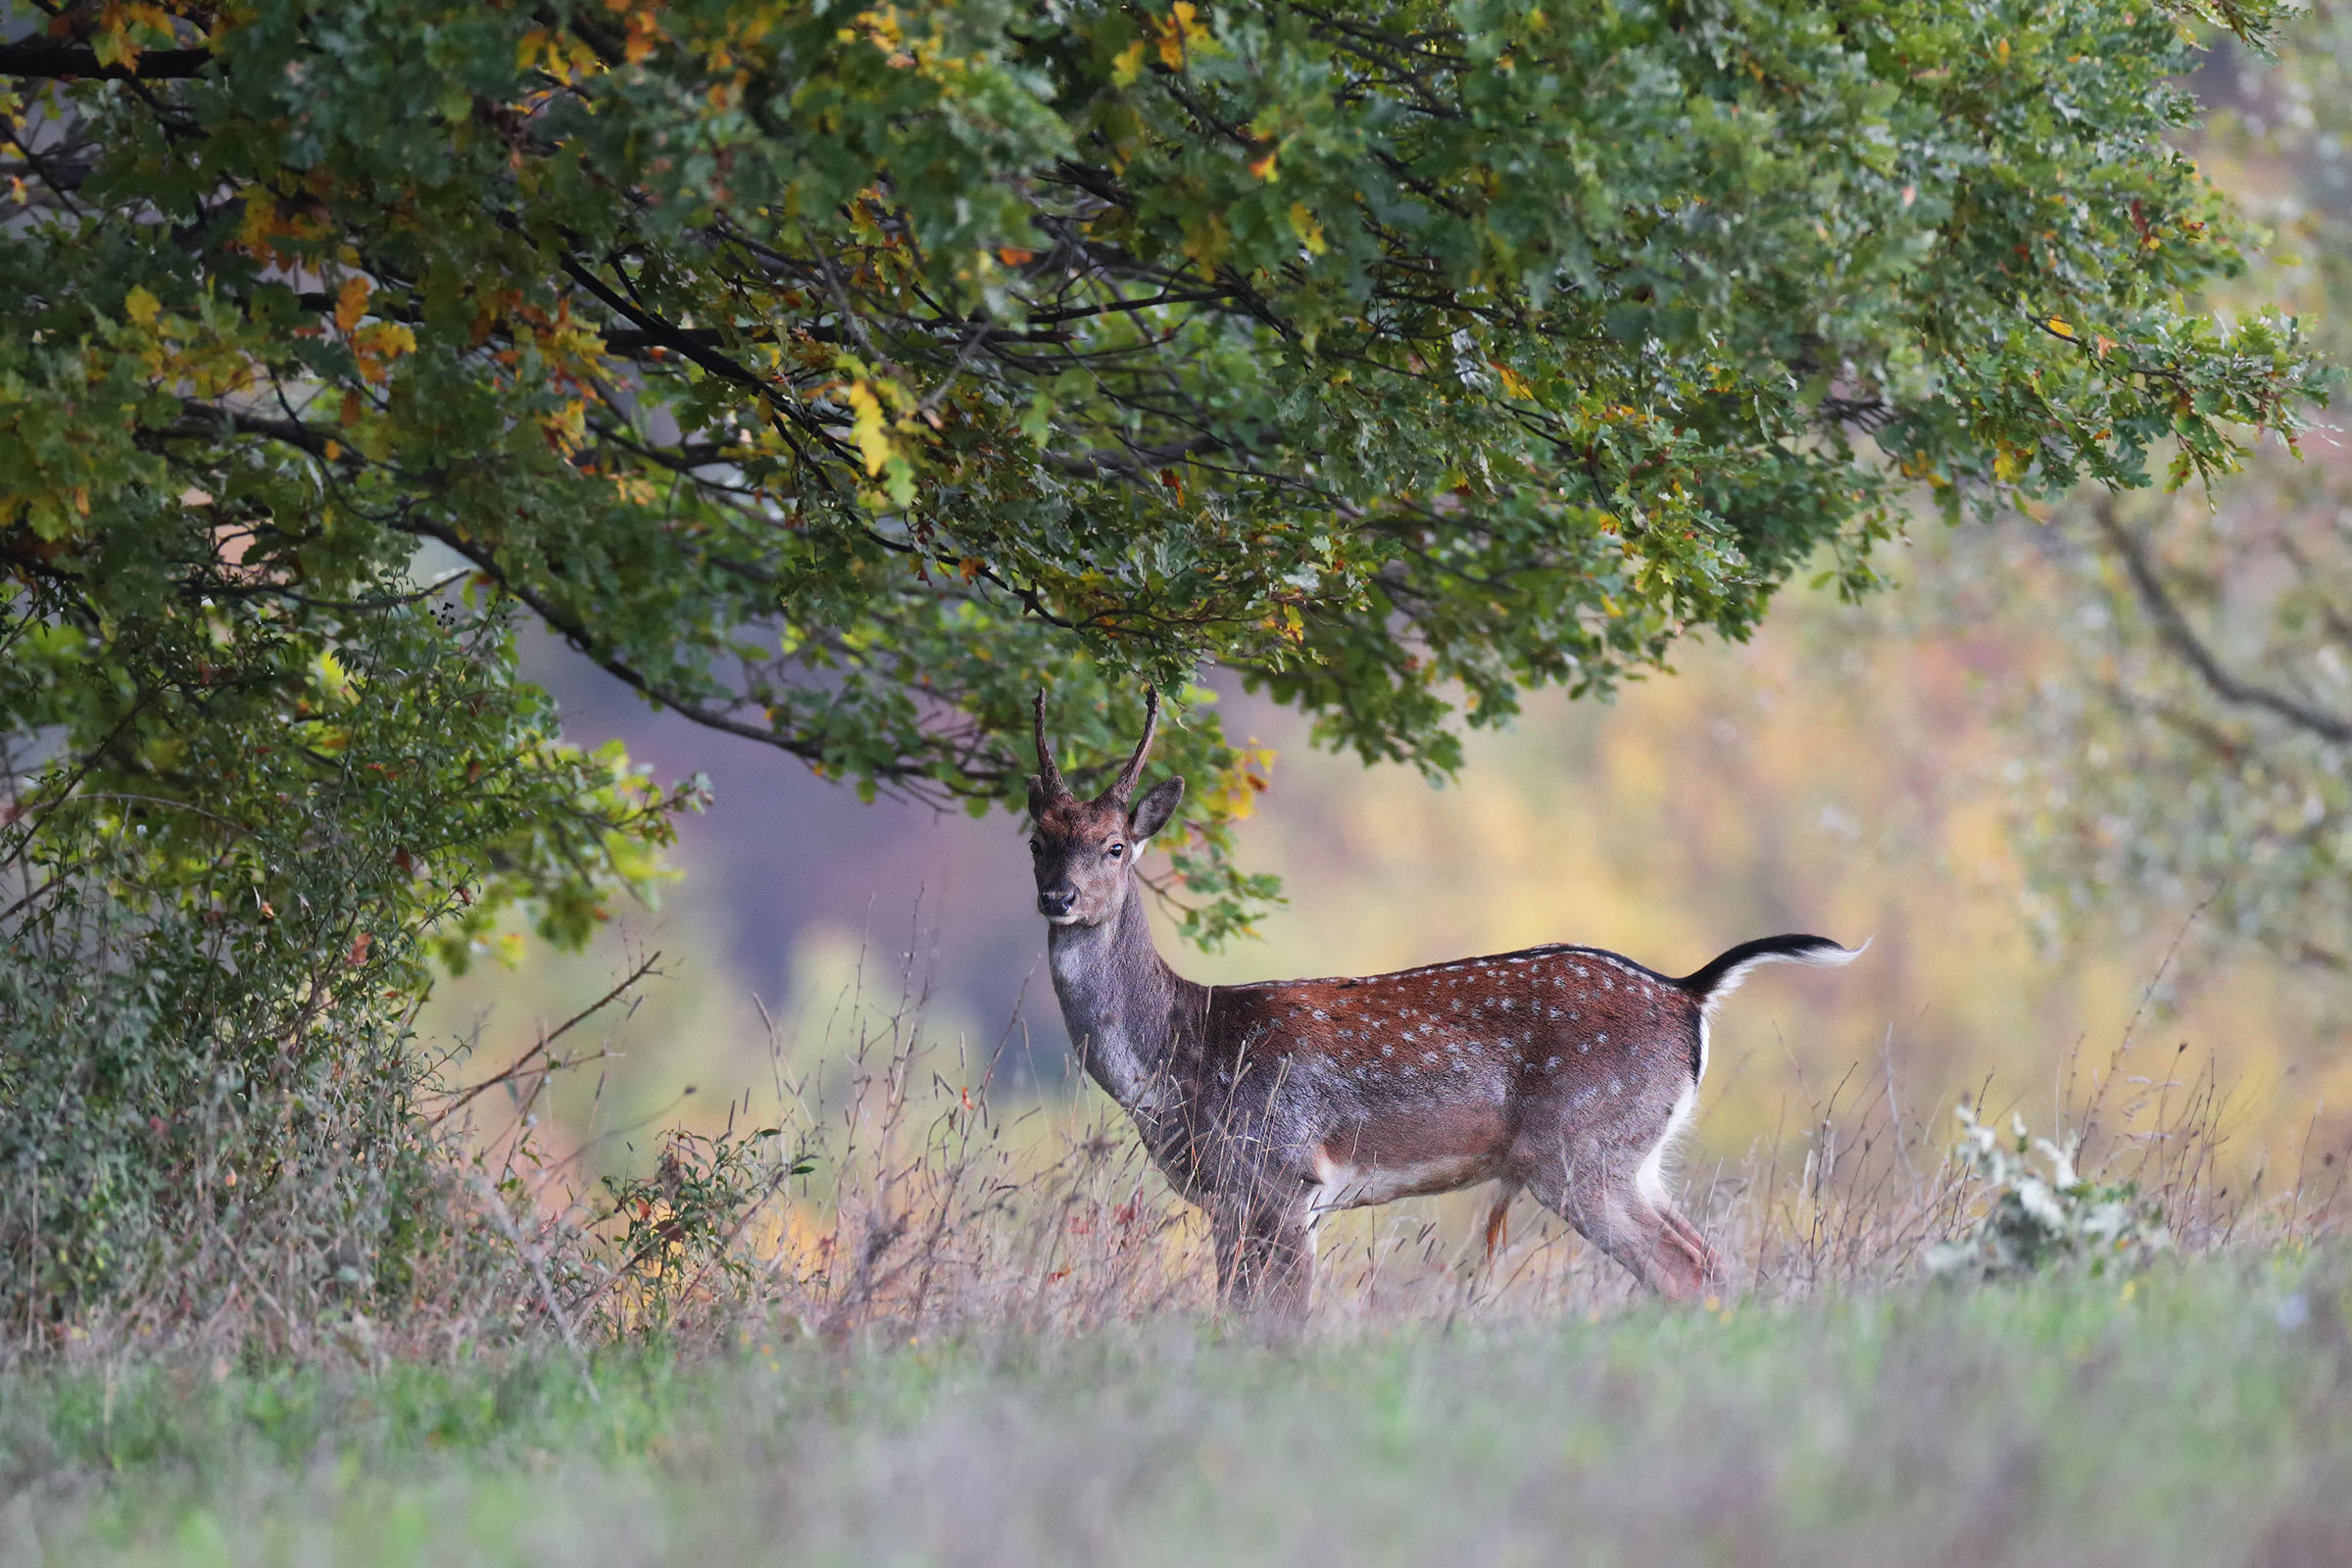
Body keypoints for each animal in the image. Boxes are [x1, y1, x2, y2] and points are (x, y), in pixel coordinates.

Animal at [1027, 688, 1862, 1315]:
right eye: (1037, 841)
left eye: (1114, 846)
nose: (1057, 898)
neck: (1175, 1060)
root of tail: (1690, 992)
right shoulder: (1226, 1200)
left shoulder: (1283, 1177)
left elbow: (1281, 1326)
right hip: (1634, 1155)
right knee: (1708, 1262)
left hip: (1582, 1146)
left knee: (1685, 1269)